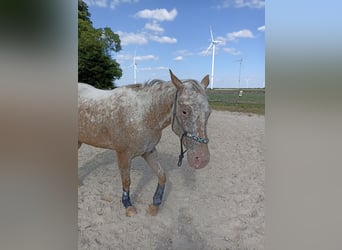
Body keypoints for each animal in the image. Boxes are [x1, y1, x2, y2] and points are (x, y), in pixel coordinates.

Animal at [78, 70, 211, 217]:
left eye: (209, 112)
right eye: (185, 111)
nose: (202, 160)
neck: (143, 114)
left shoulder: (149, 151)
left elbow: (162, 176)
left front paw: (155, 205)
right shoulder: (123, 154)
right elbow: (126, 180)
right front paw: (128, 206)